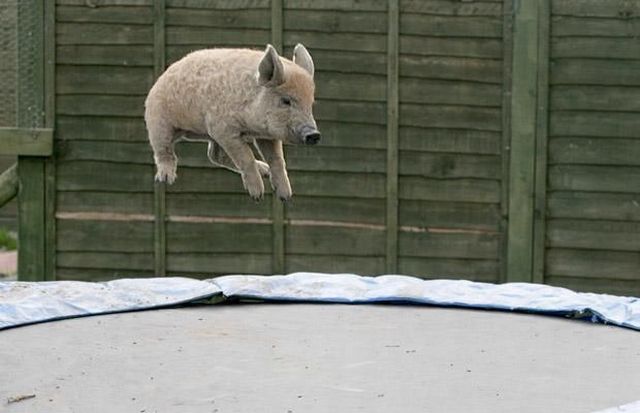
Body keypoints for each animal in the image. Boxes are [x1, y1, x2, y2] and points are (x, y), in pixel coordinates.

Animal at [142, 43, 318, 201]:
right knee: (163, 150)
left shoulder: (266, 136)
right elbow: (246, 156)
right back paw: (166, 179)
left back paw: (264, 169)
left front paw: (286, 197)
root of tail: (159, 80)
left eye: (310, 103)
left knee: (214, 155)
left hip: (207, 135)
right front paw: (257, 196)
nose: (314, 135)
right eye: (286, 101)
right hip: (158, 122)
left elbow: (277, 160)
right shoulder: (222, 129)